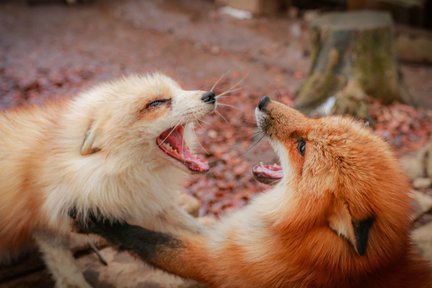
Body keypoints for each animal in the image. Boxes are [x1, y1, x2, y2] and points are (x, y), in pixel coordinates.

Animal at [0, 74, 216, 288]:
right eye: (156, 103)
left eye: (180, 90)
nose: (210, 95)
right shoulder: (44, 221)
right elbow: (67, 270)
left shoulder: (143, 200)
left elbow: (192, 228)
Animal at [74, 96, 432, 286]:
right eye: (315, 122)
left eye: (302, 147)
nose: (263, 101)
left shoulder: (218, 264)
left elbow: (147, 239)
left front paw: (97, 221)